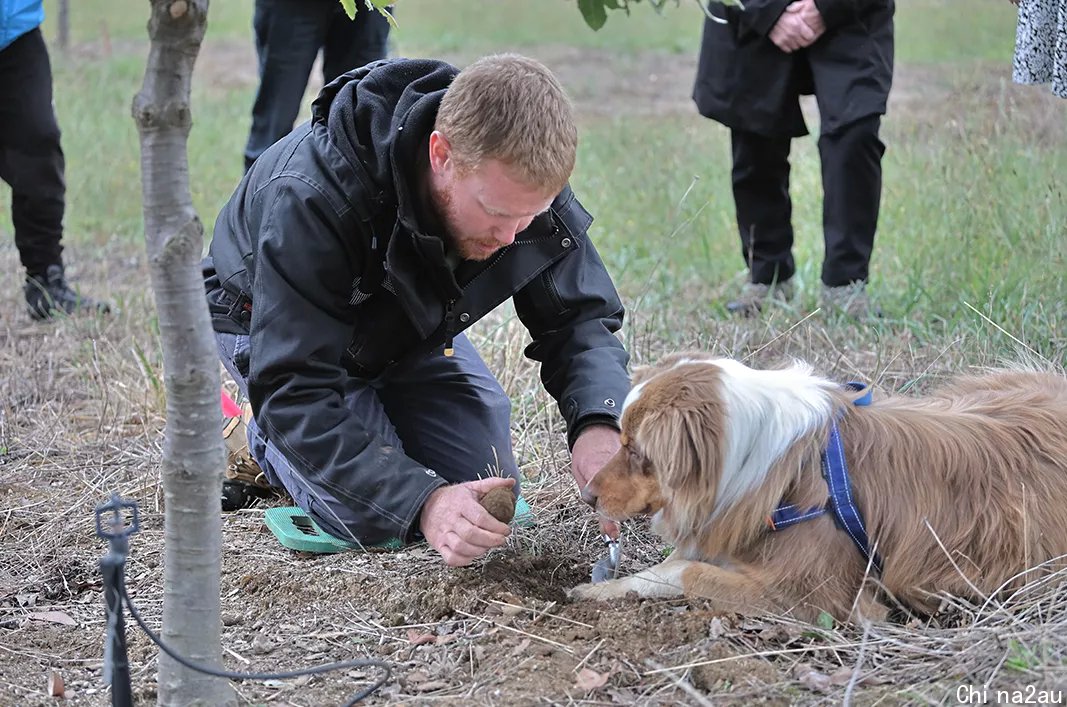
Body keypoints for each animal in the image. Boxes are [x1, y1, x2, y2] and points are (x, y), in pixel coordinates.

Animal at [571, 351, 1067, 618]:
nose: (588, 495)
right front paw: (602, 588)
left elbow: (687, 572)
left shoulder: (811, 596)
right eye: (620, 440)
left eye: (636, 451)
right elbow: (670, 566)